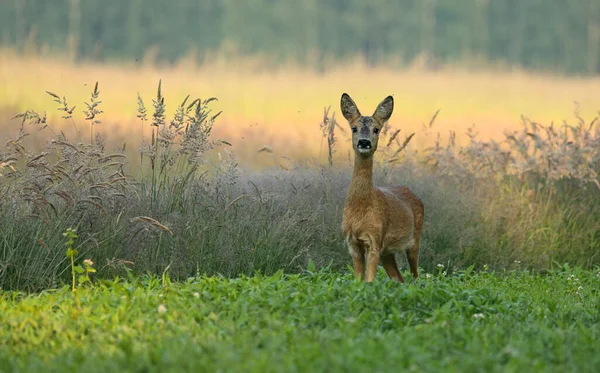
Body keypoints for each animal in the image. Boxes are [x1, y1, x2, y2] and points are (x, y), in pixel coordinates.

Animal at [340, 92, 424, 282]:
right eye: (354, 128)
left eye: (376, 129)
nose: (364, 142)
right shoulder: (352, 243)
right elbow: (358, 281)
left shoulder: (374, 240)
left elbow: (369, 281)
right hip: (388, 253)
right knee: (400, 278)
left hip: (415, 240)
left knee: (415, 276)